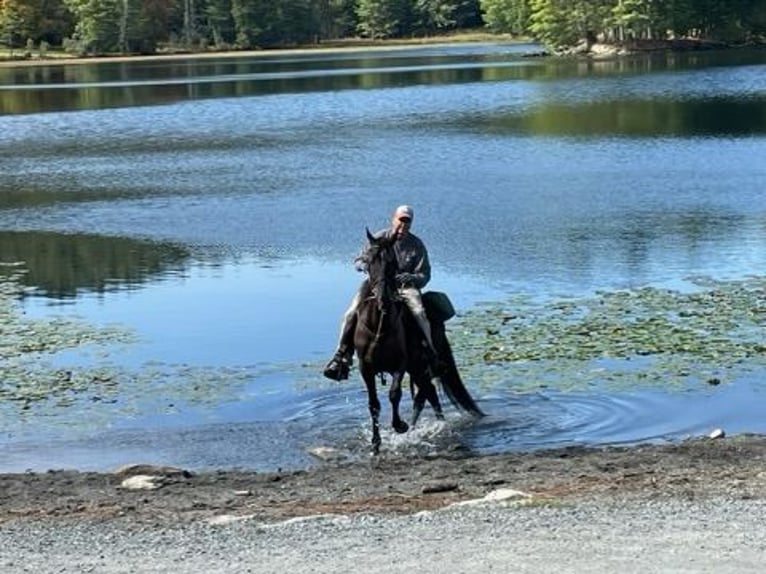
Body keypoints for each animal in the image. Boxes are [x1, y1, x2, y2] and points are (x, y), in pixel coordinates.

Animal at [354, 228, 486, 454]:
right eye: (369, 260)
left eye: (391, 262)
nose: (382, 298)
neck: (379, 324)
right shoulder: (366, 367)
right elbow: (373, 404)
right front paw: (376, 443)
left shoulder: (400, 364)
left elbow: (394, 394)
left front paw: (399, 426)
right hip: (417, 369)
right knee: (429, 393)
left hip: (420, 366)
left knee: (423, 396)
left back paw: (425, 428)